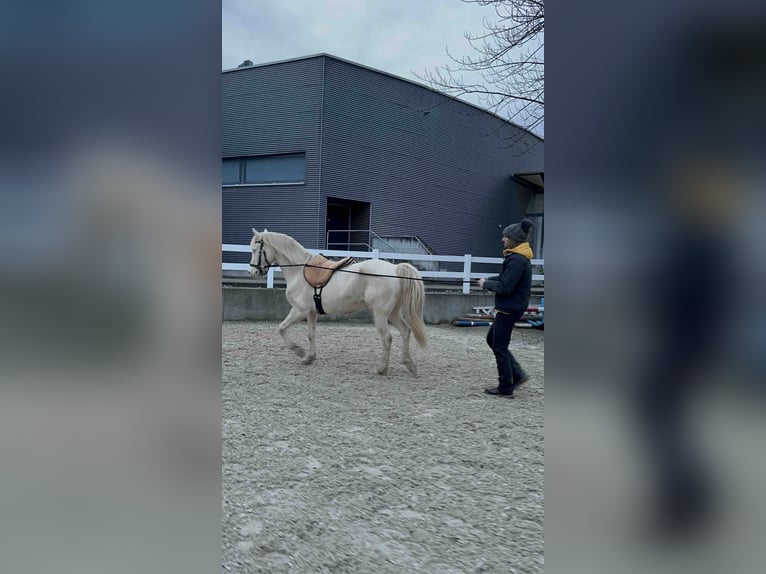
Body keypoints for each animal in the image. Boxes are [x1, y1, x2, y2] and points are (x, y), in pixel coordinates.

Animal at [252, 230, 432, 378]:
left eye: (255, 249)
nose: (252, 271)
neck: (298, 271)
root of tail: (394, 269)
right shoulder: (311, 313)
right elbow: (311, 335)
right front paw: (309, 358)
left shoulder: (299, 310)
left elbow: (281, 328)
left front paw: (299, 351)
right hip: (393, 313)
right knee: (405, 331)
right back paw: (409, 364)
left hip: (380, 314)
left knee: (387, 338)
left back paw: (381, 369)